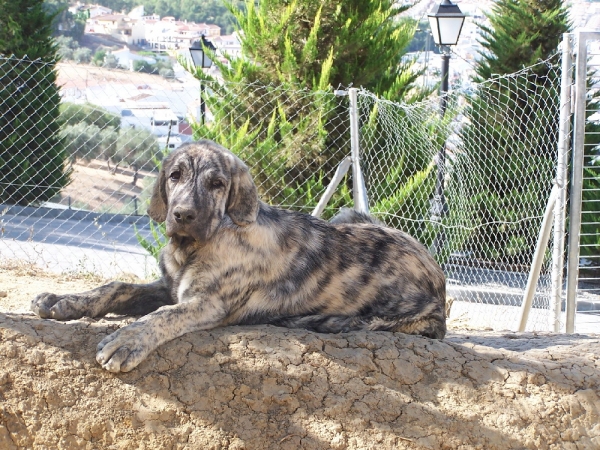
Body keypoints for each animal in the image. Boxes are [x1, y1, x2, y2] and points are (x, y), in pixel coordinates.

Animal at [31, 140, 446, 372]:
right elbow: (116, 287)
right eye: (175, 175)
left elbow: (165, 315)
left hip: (402, 311)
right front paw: (62, 300)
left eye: (217, 184)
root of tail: (440, 283)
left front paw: (129, 339)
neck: (197, 244)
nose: (182, 215)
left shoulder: (207, 302)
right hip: (350, 216)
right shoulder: (170, 286)